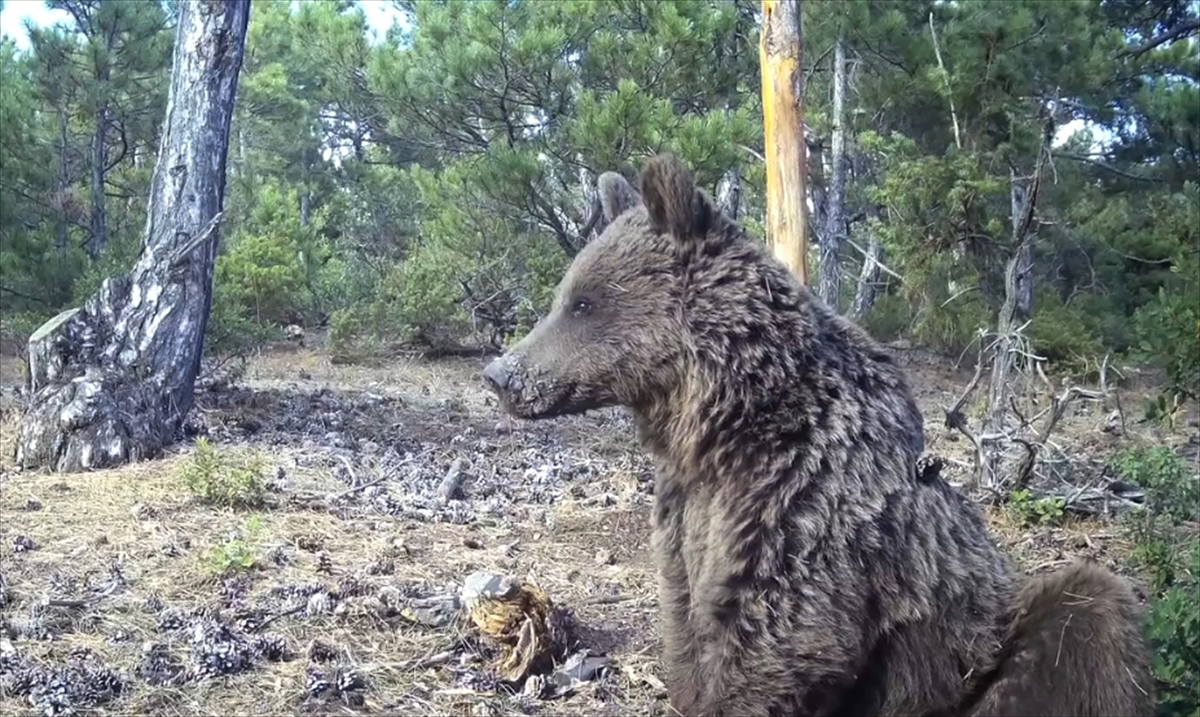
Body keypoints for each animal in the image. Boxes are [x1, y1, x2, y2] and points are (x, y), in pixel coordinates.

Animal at [482, 152, 1156, 717]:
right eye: (567, 294)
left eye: (583, 303)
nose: (500, 375)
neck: (727, 424)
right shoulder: (688, 508)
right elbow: (688, 620)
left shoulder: (801, 496)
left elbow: (777, 635)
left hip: (982, 645)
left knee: (1087, 615)